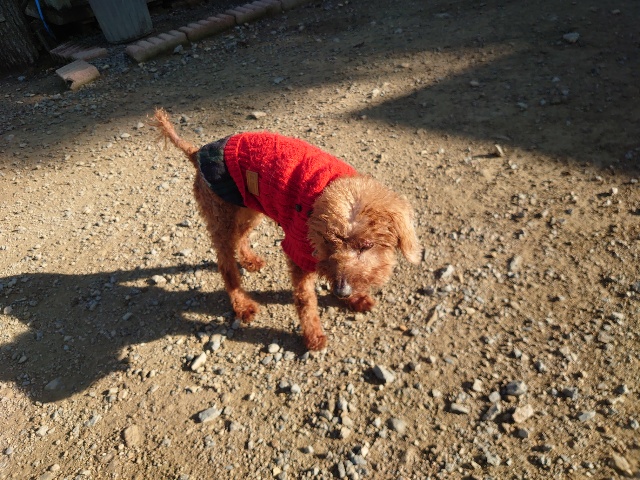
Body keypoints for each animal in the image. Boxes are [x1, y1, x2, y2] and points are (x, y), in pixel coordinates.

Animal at [152, 108, 421, 350]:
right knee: (226, 265)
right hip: (222, 216)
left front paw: (355, 298)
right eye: (328, 242)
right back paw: (242, 305)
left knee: (241, 237)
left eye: (367, 246)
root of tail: (197, 153)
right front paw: (313, 337)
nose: (341, 291)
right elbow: (305, 301)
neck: (328, 188)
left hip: (248, 207)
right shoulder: (297, 251)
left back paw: (250, 261)